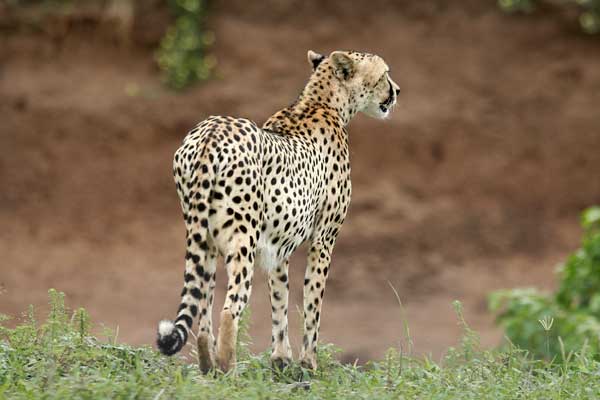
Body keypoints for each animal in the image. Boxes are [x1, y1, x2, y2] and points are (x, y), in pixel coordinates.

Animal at [156, 50, 398, 372]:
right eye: (385, 74)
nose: (397, 91)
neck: (322, 102)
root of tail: (211, 131)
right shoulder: (324, 240)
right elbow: (312, 303)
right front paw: (308, 363)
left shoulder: (277, 245)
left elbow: (279, 298)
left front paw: (281, 359)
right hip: (241, 240)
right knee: (229, 308)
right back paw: (229, 371)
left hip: (202, 239)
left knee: (203, 311)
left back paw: (209, 369)